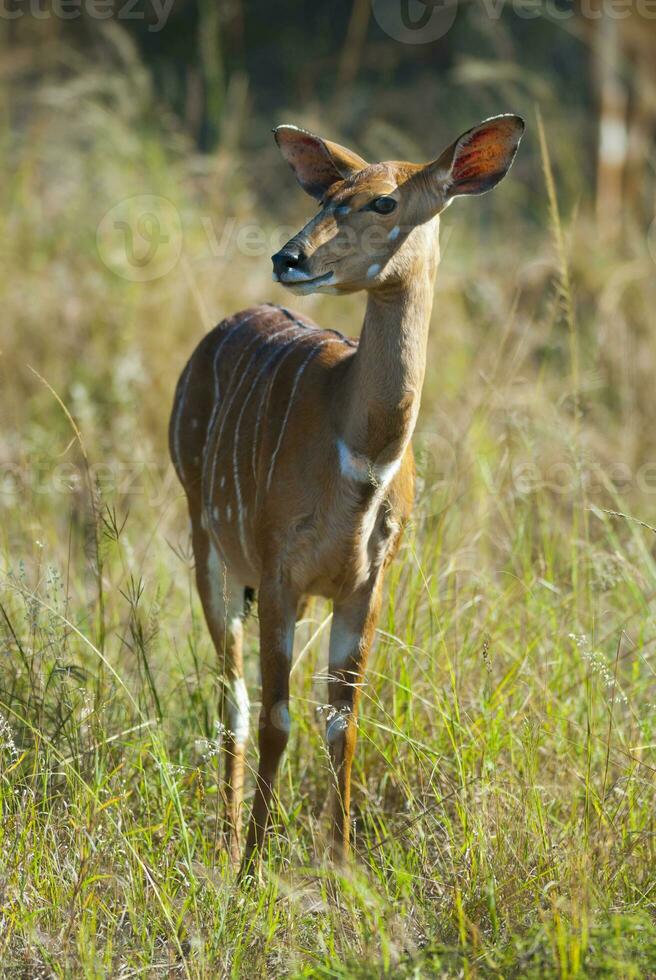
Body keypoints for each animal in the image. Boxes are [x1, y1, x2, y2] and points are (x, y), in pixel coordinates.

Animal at [169, 111, 524, 868]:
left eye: (384, 202)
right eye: (326, 195)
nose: (289, 258)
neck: (360, 457)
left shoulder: (367, 579)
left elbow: (344, 720)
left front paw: (340, 865)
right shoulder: (278, 568)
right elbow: (276, 718)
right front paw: (252, 867)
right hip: (209, 547)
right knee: (233, 699)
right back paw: (225, 840)